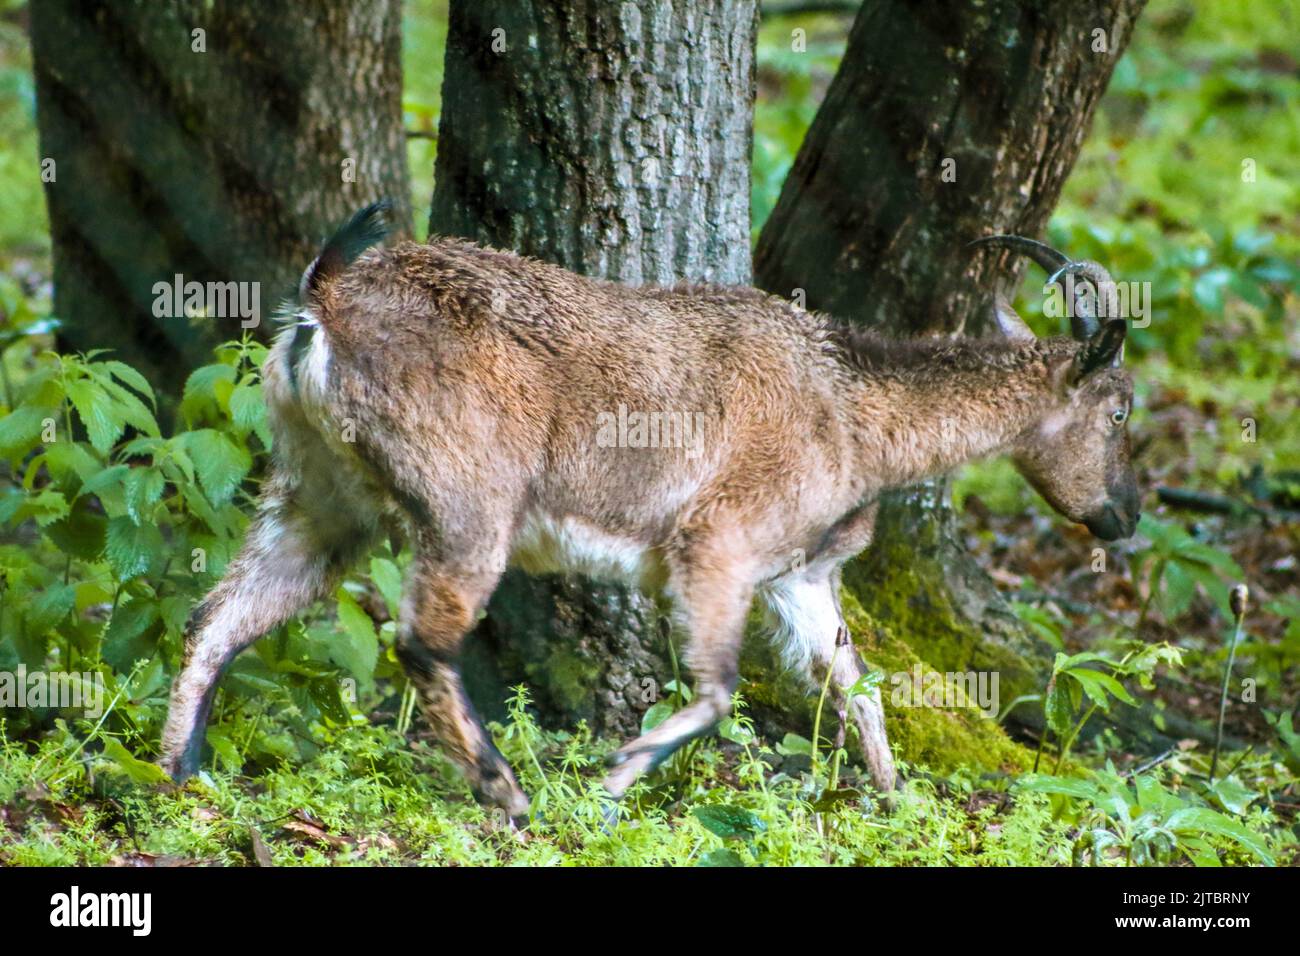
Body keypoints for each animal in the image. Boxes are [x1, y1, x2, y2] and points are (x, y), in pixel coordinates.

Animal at [159, 204, 1139, 816]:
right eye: (1121, 410)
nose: (1124, 517)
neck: (852, 407)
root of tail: (324, 308)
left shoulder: (797, 576)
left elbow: (859, 690)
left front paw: (897, 803)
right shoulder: (718, 544)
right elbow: (718, 691)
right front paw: (613, 779)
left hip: (320, 495)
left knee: (220, 616)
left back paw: (177, 775)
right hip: (468, 505)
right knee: (421, 641)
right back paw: (508, 795)